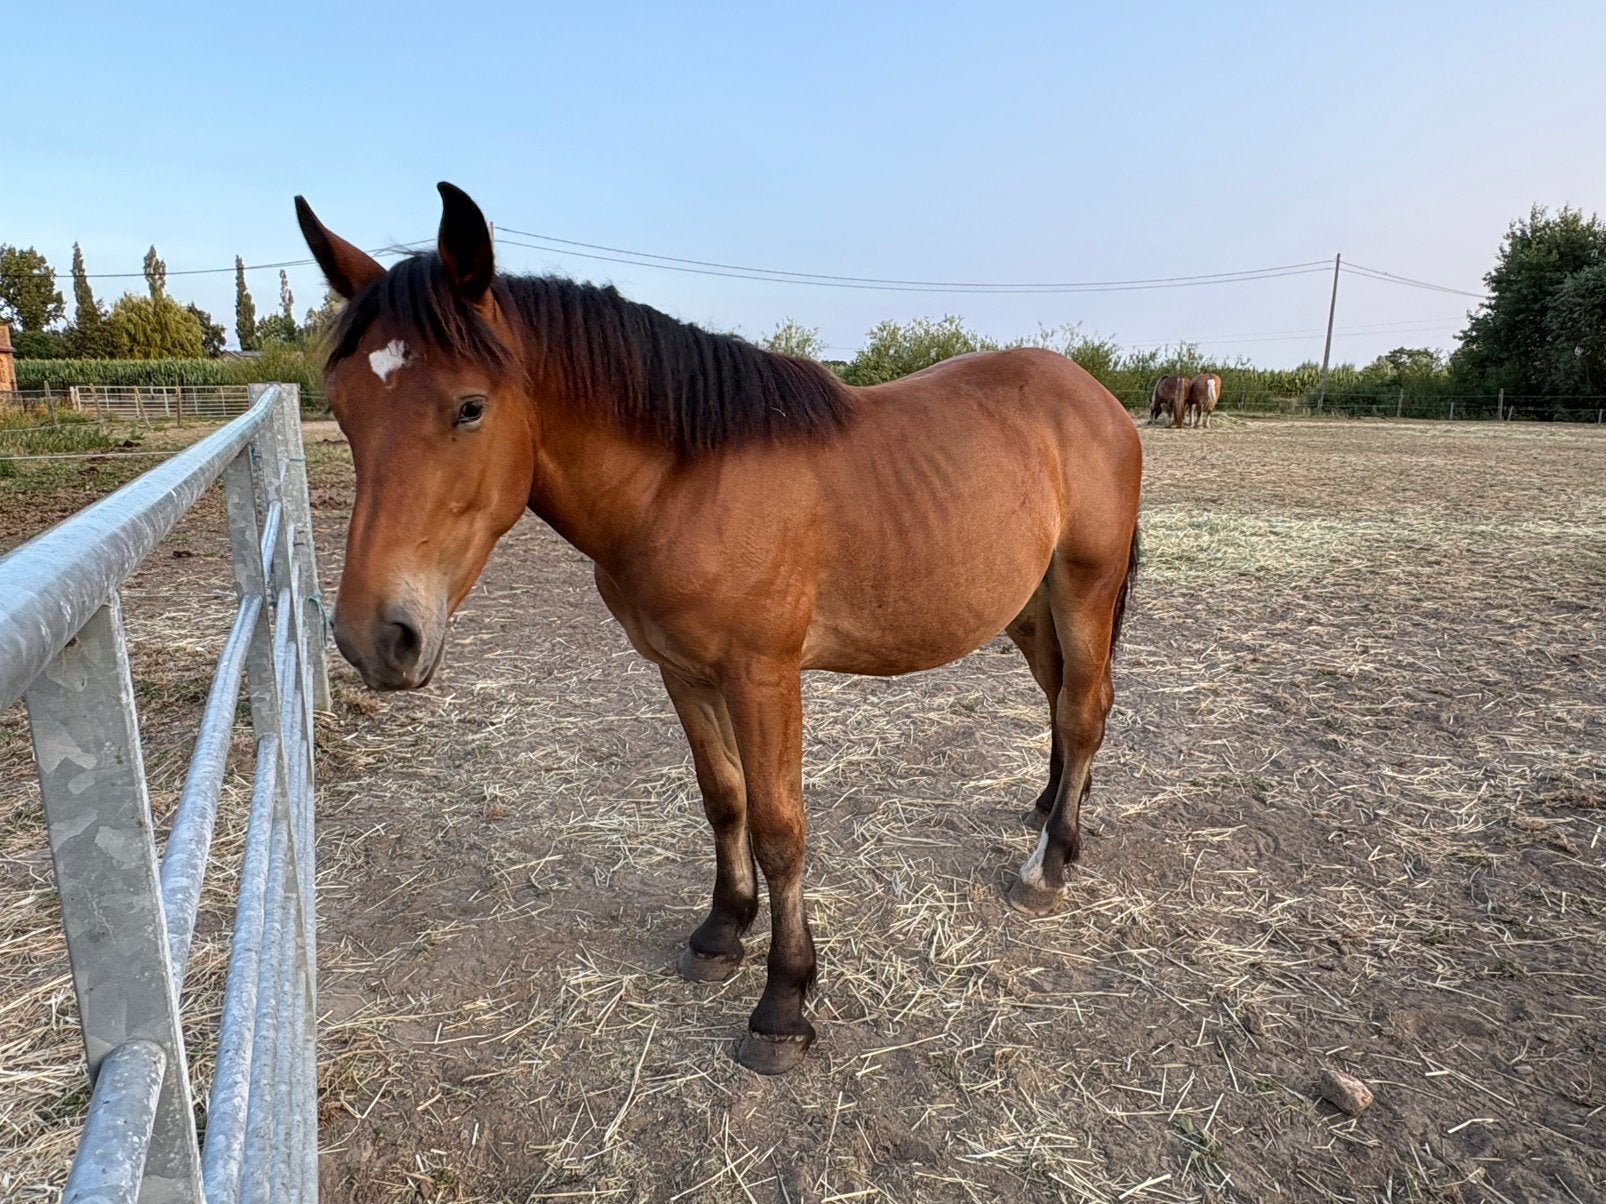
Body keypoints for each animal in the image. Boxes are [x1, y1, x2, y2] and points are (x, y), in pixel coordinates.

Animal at [295, 183, 1144, 1074]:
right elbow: (723, 800)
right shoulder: (682, 671)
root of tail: (1093, 396)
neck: (682, 484)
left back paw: (1048, 867)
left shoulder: (763, 677)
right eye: (343, 408)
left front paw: (784, 1002)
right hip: (1029, 609)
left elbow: (779, 828)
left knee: (1083, 713)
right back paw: (1050, 815)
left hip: (1084, 591)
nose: (374, 636)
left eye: (469, 407)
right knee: (1063, 701)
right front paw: (721, 932)